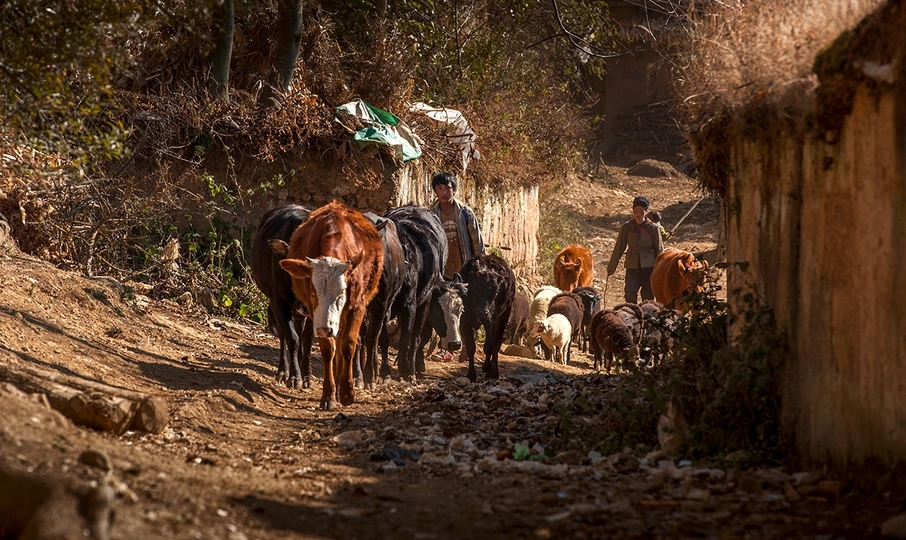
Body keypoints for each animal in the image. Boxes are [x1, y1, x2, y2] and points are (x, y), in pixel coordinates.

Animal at [250, 205, 314, 389]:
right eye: (293, 267)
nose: (304, 305)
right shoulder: (278, 301)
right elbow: (292, 338)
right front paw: (294, 377)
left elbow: (307, 339)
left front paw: (306, 375)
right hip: (274, 301)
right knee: (283, 334)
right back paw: (283, 371)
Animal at [278, 201, 384, 409]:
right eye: (313, 290)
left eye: (342, 291)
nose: (325, 329)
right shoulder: (316, 314)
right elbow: (328, 349)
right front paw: (329, 395)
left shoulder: (357, 307)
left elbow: (348, 345)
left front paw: (347, 392)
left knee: (343, 340)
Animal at [384, 205, 448, 380]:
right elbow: (382, 339)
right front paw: (384, 370)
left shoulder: (410, 306)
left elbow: (407, 339)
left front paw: (406, 369)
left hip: (425, 301)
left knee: (418, 336)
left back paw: (413, 366)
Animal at [459, 254, 516, 382]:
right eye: (475, 289)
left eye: (495, 292)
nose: (483, 313)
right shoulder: (464, 321)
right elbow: (471, 346)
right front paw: (471, 374)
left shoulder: (491, 321)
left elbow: (489, 346)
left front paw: (486, 367)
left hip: (505, 314)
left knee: (497, 342)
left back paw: (493, 371)